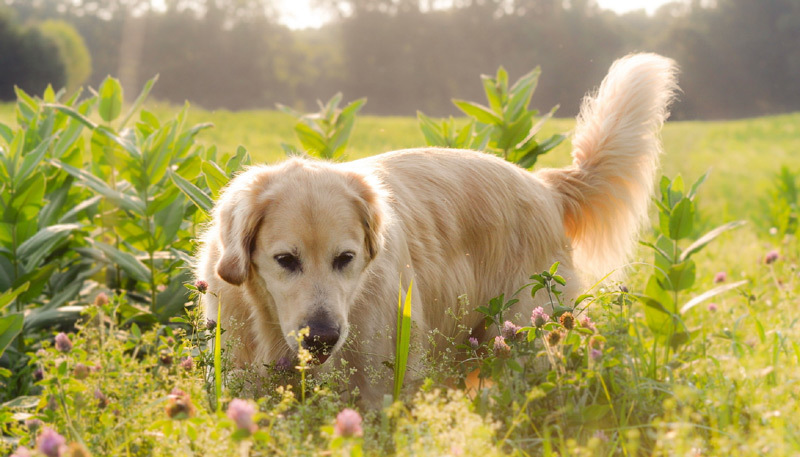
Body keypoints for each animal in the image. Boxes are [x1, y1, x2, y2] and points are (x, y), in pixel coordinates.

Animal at [197, 53, 680, 402]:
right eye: (285, 260)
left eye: (345, 259)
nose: (322, 338)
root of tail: (544, 185)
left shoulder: (381, 388)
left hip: (525, 341)